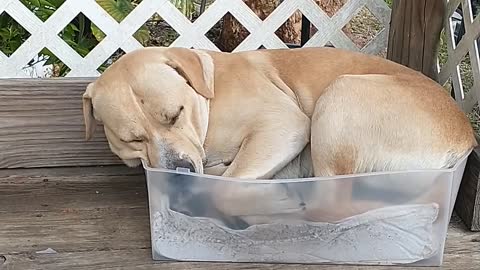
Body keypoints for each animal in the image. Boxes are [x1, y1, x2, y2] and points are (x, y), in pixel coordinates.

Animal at [82, 46, 476, 224]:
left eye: (175, 114)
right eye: (133, 139)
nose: (179, 172)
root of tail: (465, 139)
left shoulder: (283, 125)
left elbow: (226, 187)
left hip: (340, 96)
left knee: (330, 204)